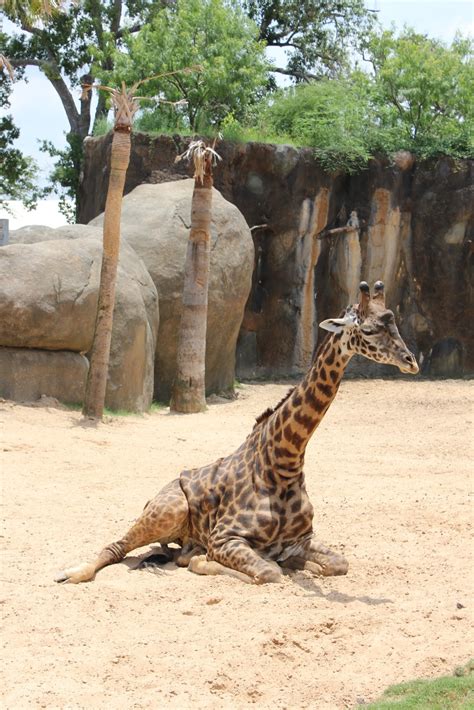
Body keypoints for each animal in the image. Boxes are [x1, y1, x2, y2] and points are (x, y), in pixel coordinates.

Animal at [56, 280, 418, 588]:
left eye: (395, 324)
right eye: (368, 329)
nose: (411, 362)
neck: (284, 461)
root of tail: (157, 493)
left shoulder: (302, 539)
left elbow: (338, 564)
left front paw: (306, 566)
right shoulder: (224, 537)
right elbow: (268, 572)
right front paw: (205, 561)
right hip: (168, 510)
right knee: (115, 547)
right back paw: (72, 573)